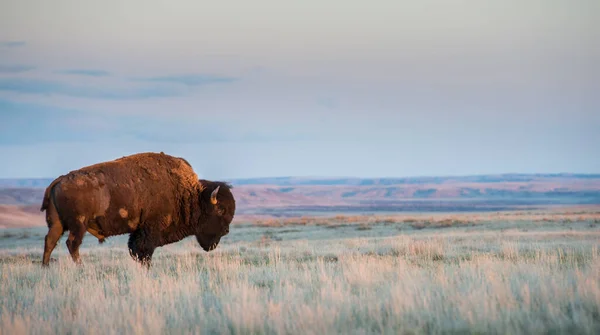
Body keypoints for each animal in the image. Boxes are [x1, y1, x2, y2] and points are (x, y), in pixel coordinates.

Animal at [38, 154, 236, 270]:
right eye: (220, 209)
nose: (226, 230)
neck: (188, 195)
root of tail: (59, 180)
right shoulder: (150, 230)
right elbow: (143, 250)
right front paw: (147, 268)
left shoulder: (138, 231)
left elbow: (134, 249)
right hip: (79, 224)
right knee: (72, 244)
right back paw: (81, 267)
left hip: (57, 223)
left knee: (50, 241)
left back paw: (45, 267)